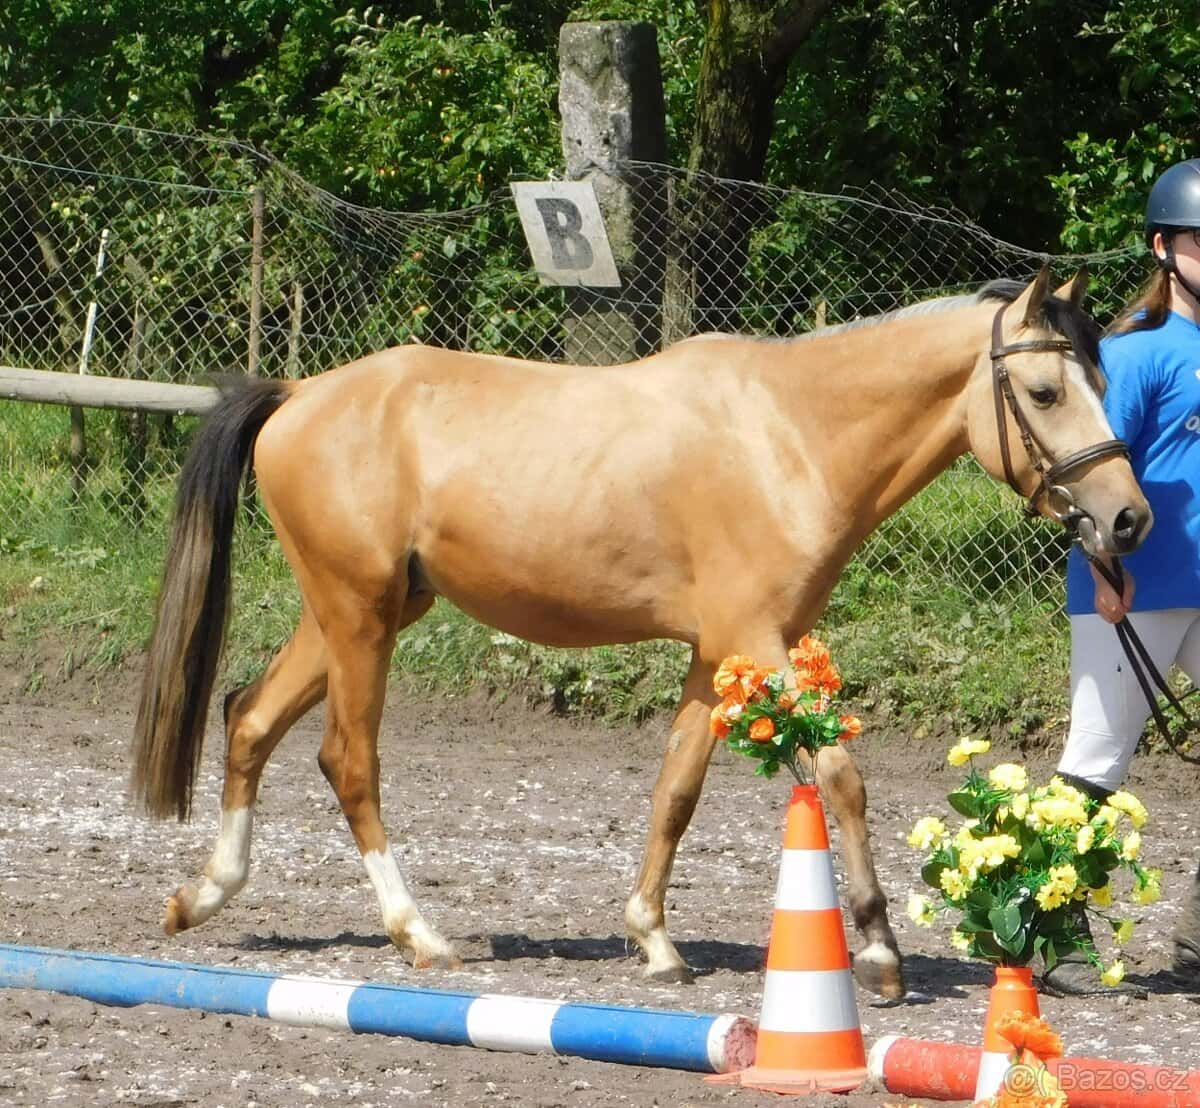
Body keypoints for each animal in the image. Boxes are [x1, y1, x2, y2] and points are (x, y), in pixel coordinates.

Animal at [131, 266, 1150, 1000]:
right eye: (1045, 390)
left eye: (1104, 381)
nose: (1128, 519)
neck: (790, 437)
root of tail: (298, 393)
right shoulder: (759, 641)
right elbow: (840, 778)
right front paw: (878, 951)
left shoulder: (718, 654)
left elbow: (676, 789)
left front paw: (654, 938)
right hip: (360, 621)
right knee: (346, 760)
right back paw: (419, 934)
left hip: (357, 613)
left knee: (249, 719)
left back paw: (201, 897)